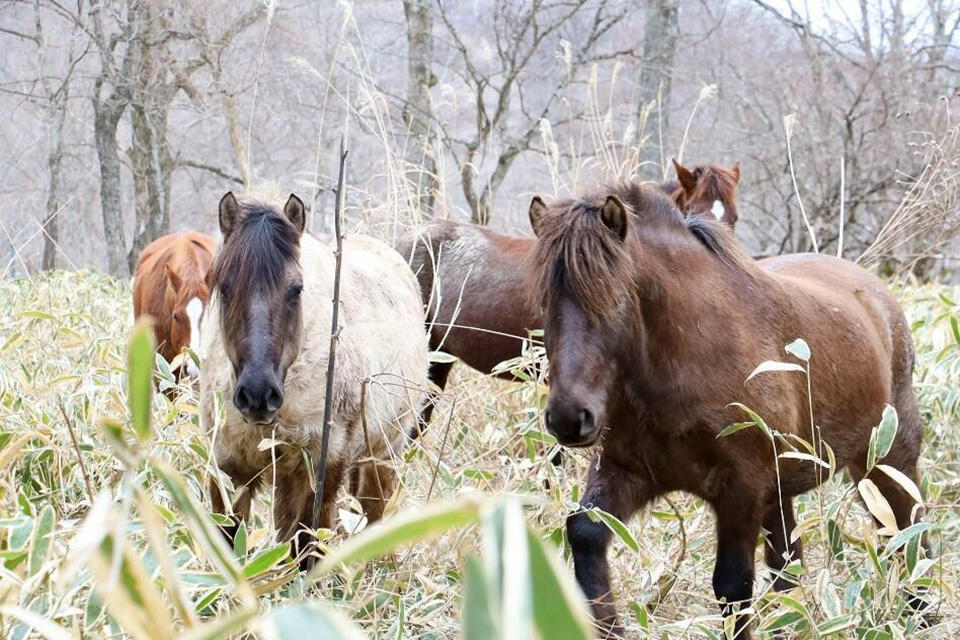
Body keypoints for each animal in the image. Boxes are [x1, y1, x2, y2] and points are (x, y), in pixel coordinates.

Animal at [200, 192, 428, 564]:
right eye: (225, 287)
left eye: (296, 289)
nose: (257, 395)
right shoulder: (229, 468)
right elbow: (232, 544)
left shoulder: (323, 468)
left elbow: (309, 548)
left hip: (383, 453)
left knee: (373, 513)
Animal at [528, 182, 928, 636]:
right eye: (544, 303)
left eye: (615, 301)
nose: (568, 417)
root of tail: (878, 297)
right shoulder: (627, 471)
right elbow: (584, 534)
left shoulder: (741, 488)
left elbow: (732, 585)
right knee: (790, 564)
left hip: (887, 459)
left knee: (909, 530)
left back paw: (922, 611)